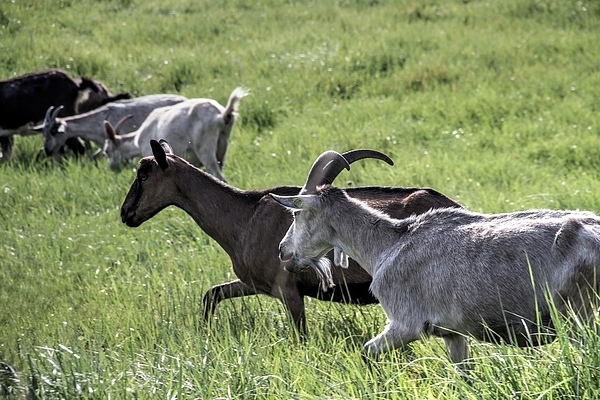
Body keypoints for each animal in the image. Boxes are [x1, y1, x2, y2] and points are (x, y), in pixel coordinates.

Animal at [119, 139, 462, 332]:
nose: (125, 213)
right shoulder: (255, 283)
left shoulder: (289, 290)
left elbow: (300, 338)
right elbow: (212, 294)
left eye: (143, 175)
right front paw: (206, 334)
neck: (244, 219)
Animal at [270, 150, 600, 366]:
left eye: (297, 213)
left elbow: (367, 351)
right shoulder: (453, 333)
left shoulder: (405, 323)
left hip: (579, 313)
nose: (283, 251)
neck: (389, 243)